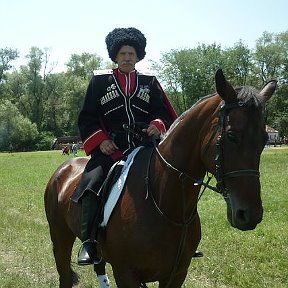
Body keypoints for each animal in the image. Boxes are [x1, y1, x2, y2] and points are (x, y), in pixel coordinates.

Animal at [44, 70, 276, 288]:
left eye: (265, 139)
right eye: (231, 136)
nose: (250, 214)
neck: (163, 201)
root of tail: (63, 169)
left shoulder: (176, 273)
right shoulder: (125, 274)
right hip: (60, 239)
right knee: (65, 275)